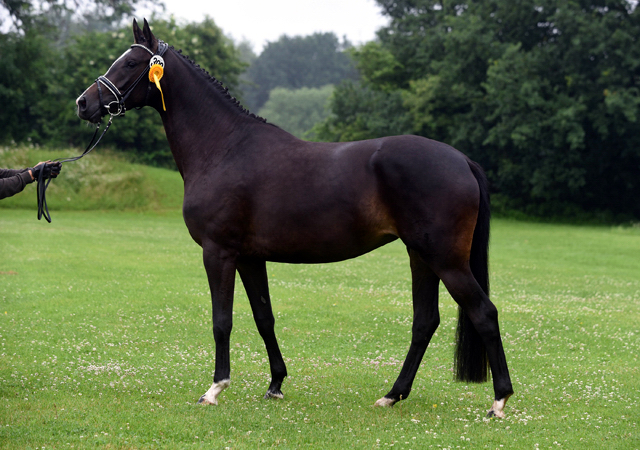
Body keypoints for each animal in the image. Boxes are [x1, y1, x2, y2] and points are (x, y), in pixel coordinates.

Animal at [76, 19, 516, 416]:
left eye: (131, 63)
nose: (84, 103)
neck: (224, 147)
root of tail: (461, 160)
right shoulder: (250, 257)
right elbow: (263, 318)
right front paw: (275, 384)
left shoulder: (218, 252)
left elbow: (222, 321)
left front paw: (215, 389)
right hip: (420, 256)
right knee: (425, 322)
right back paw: (392, 395)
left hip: (445, 259)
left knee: (484, 313)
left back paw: (498, 401)